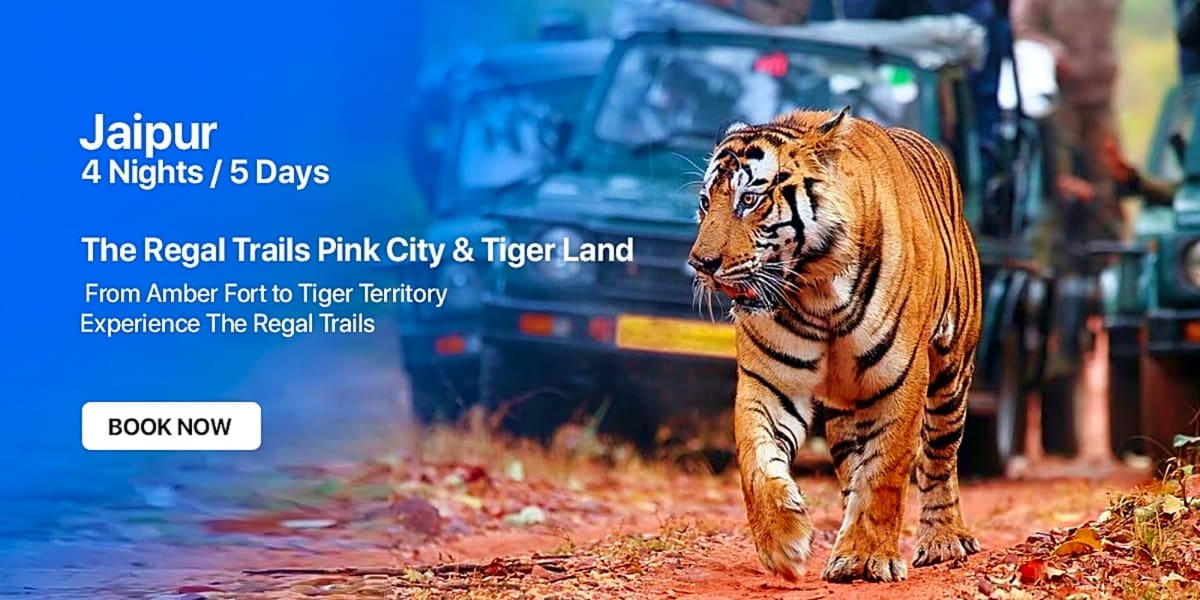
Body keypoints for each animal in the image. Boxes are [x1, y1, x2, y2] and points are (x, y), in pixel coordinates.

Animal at [688, 107, 982, 583]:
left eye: (748, 200)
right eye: (704, 202)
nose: (700, 264)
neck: (816, 290)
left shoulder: (901, 379)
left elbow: (886, 469)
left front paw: (868, 556)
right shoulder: (769, 382)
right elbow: (756, 461)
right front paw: (783, 544)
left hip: (951, 374)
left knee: (939, 457)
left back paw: (944, 540)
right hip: (847, 406)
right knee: (852, 467)